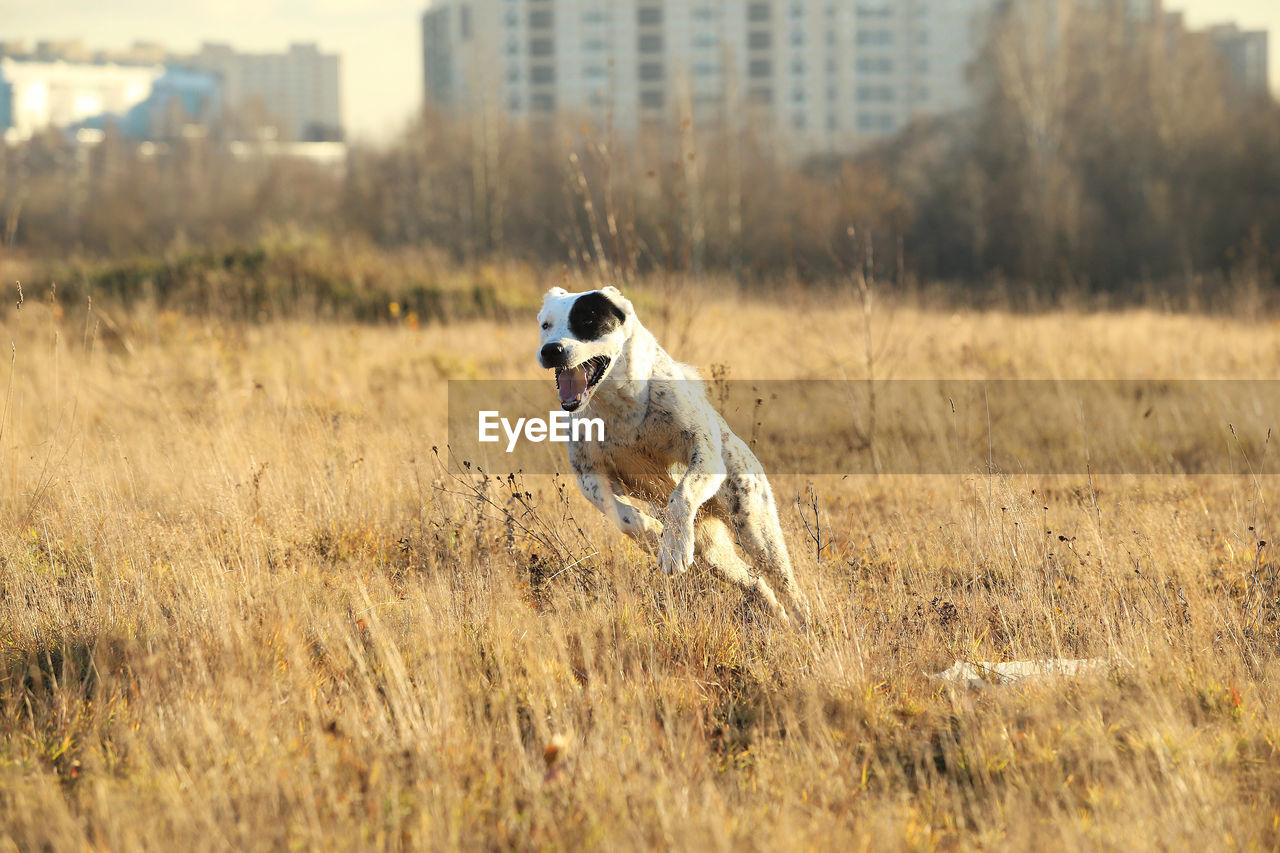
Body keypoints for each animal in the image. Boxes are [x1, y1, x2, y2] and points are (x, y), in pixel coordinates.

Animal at [537, 286, 808, 625]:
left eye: (587, 320)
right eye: (545, 325)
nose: (551, 350)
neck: (618, 405)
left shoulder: (703, 452)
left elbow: (681, 494)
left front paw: (674, 546)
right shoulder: (591, 477)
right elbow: (625, 518)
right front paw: (656, 536)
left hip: (755, 528)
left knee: (787, 585)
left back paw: (807, 623)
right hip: (714, 554)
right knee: (755, 581)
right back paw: (778, 616)